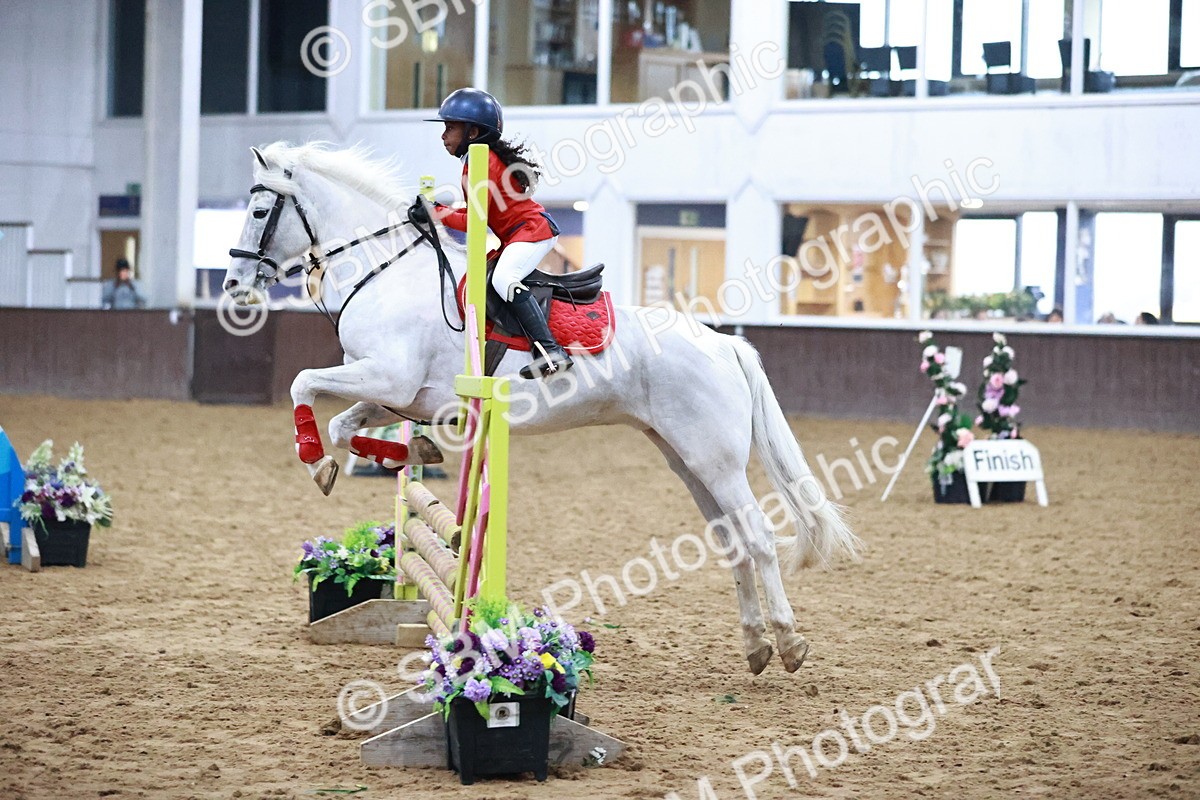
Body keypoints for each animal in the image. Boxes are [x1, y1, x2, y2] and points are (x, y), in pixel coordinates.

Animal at [223, 141, 861, 675]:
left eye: (259, 211)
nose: (232, 285)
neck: (387, 271)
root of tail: (724, 343)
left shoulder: (388, 375)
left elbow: (302, 385)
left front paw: (318, 458)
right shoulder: (396, 392)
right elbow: (342, 422)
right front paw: (381, 454)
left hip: (716, 460)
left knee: (758, 537)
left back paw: (788, 642)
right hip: (687, 460)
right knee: (733, 541)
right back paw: (755, 645)